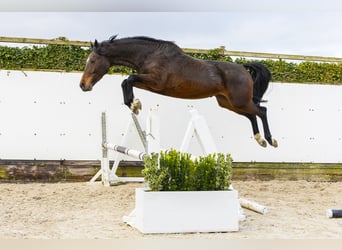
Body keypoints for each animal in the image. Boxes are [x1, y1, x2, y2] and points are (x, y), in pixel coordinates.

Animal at [80, 36, 278, 147]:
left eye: (92, 61)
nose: (83, 85)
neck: (150, 55)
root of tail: (243, 68)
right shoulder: (150, 83)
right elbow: (126, 81)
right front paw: (133, 104)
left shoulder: (155, 81)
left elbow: (129, 79)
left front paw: (134, 104)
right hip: (228, 103)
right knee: (252, 115)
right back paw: (260, 140)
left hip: (239, 101)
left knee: (261, 111)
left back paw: (270, 140)